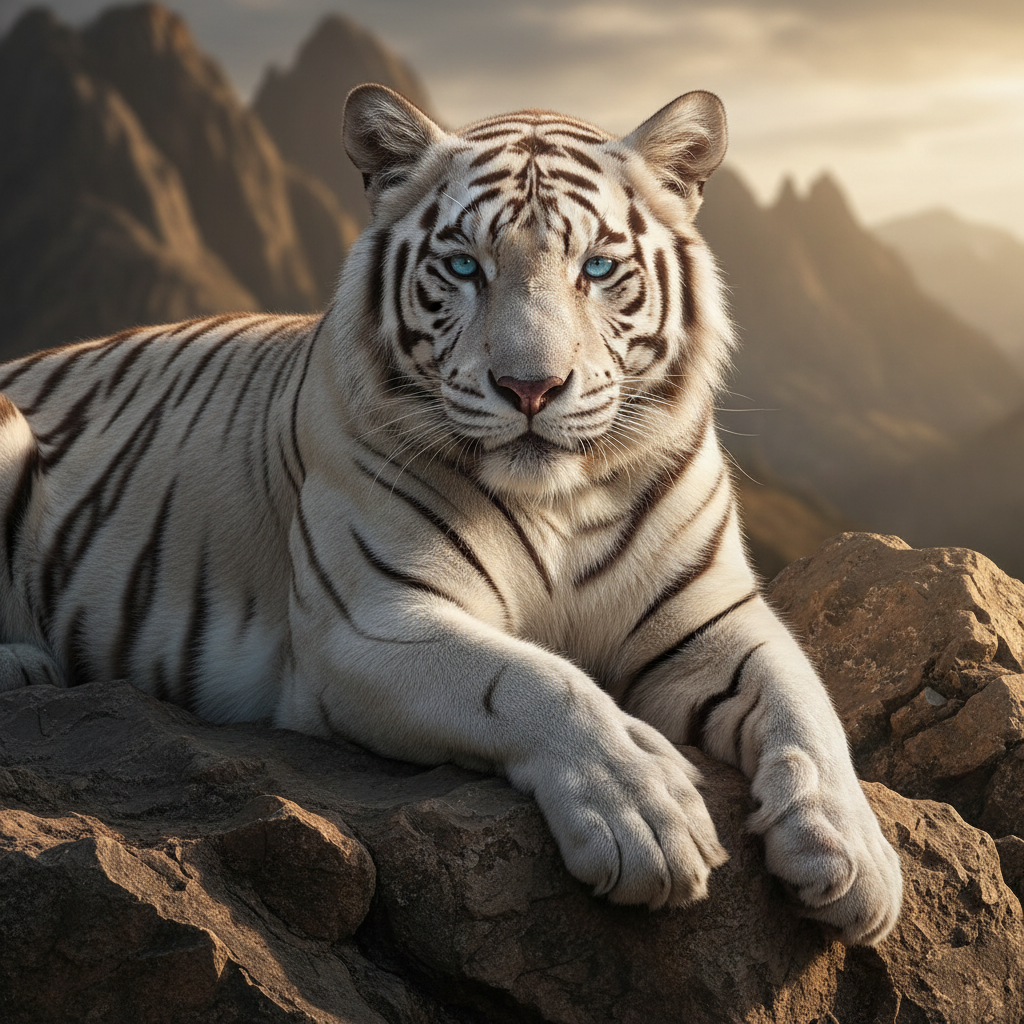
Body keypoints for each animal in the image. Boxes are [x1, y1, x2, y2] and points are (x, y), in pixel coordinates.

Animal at [0, 83, 902, 944]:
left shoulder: (712, 619)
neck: (561, 500)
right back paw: (26, 666)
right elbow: (535, 681)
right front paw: (646, 812)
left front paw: (854, 858)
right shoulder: (370, 623)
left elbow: (804, 702)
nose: (531, 387)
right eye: (466, 267)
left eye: (598, 268)